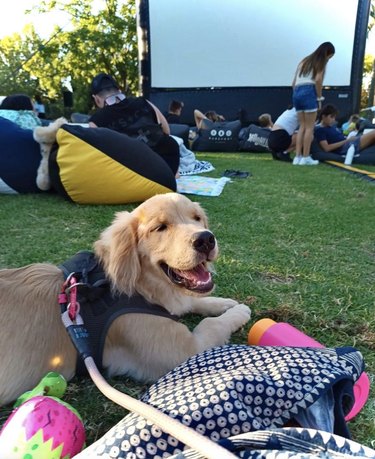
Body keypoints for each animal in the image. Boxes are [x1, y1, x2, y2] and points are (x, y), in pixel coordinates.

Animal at [0, 192, 253, 404]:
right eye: (160, 227)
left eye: (197, 218)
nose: (206, 239)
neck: (142, 287)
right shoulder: (187, 351)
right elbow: (212, 324)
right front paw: (239, 311)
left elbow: (193, 300)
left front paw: (224, 303)